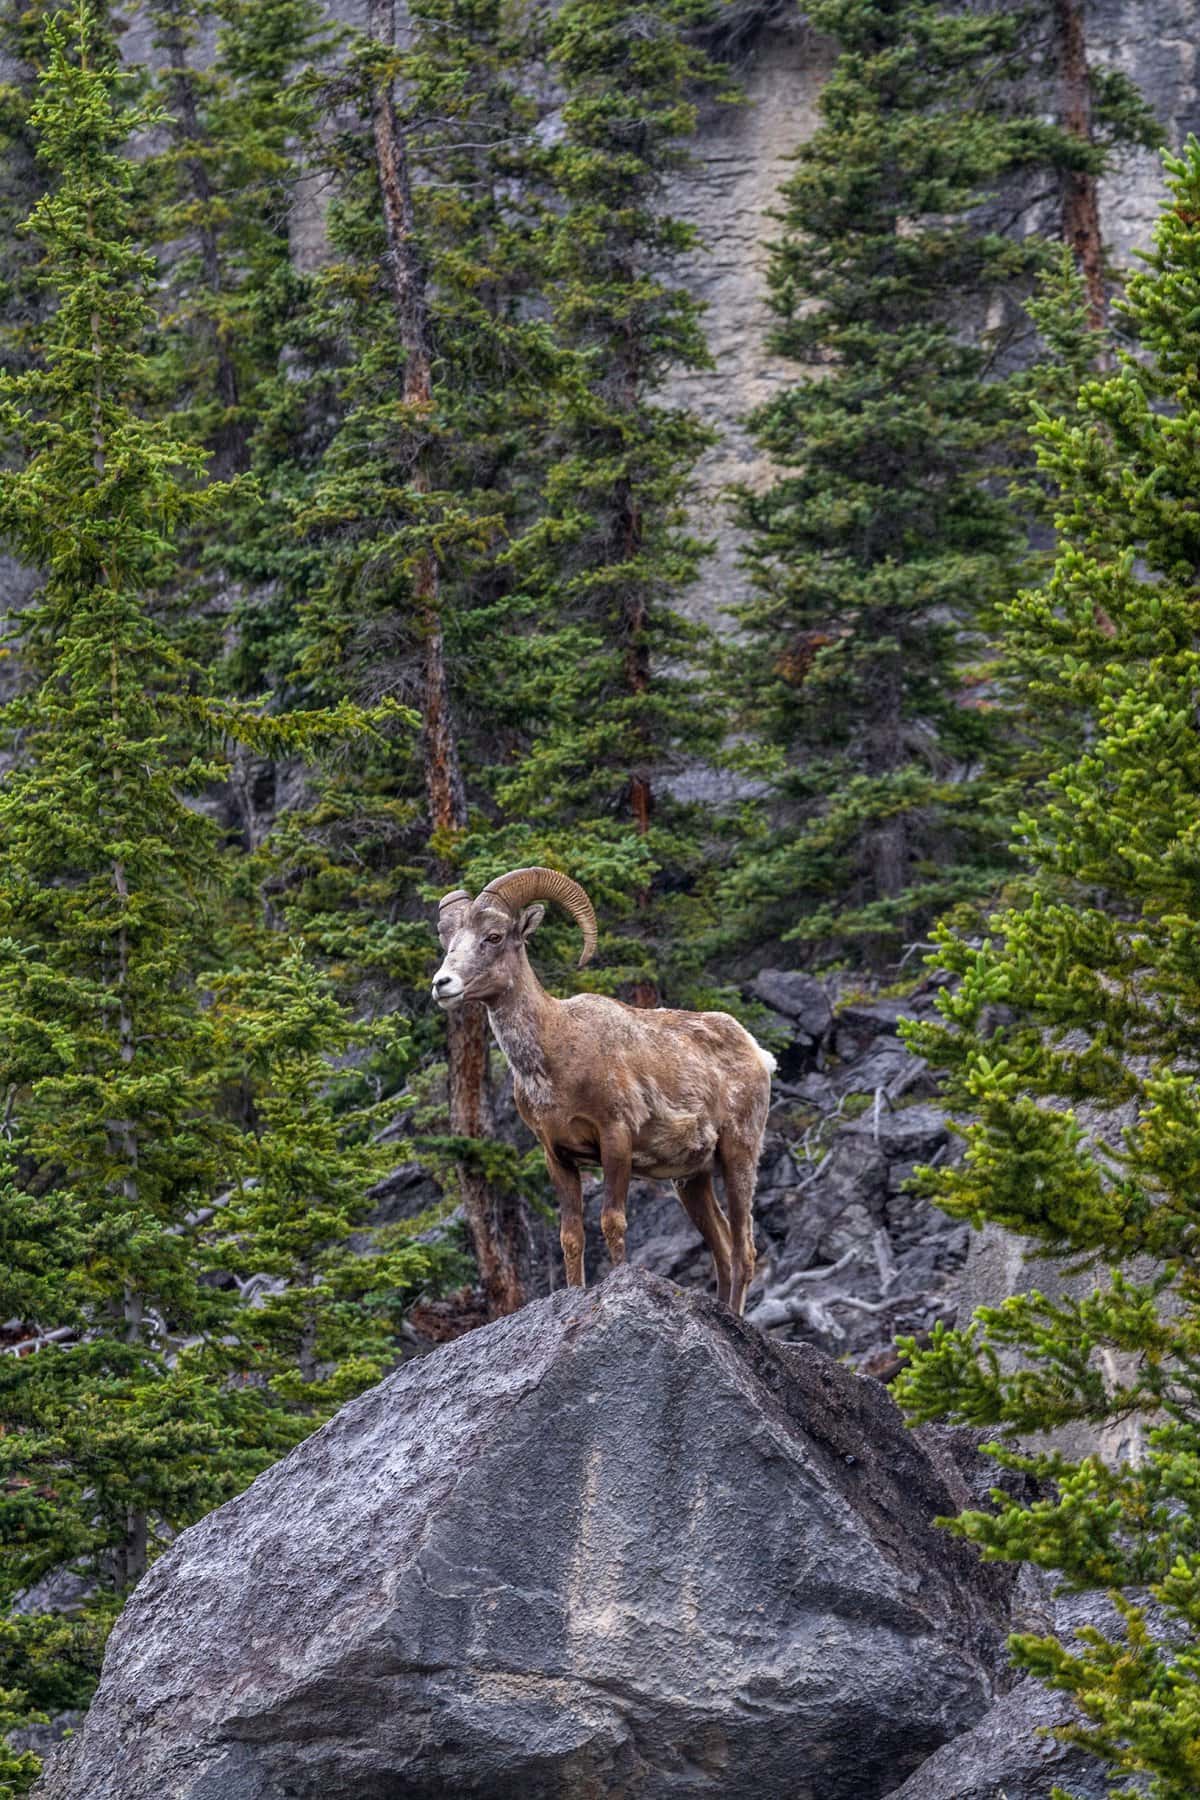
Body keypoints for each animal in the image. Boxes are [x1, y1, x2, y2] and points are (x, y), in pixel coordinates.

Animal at [431, 864, 780, 1317]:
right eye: (449, 942)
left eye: (493, 937)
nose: (442, 984)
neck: (557, 1056)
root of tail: (757, 1053)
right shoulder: (558, 1156)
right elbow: (571, 1235)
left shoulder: (615, 1139)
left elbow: (612, 1221)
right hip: (692, 1179)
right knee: (721, 1247)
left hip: (739, 1154)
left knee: (743, 1250)